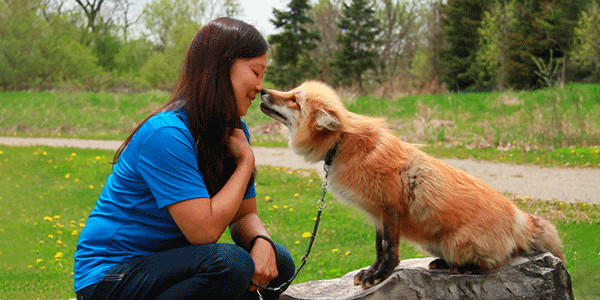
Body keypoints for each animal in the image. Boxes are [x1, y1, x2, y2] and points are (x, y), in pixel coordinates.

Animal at [260, 81, 564, 290]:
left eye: (294, 100)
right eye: (291, 91)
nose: (262, 90)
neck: (342, 146)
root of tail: (518, 217)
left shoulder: (390, 208)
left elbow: (390, 252)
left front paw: (379, 276)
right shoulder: (377, 214)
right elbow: (379, 249)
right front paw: (371, 273)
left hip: (457, 243)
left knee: (497, 263)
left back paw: (465, 270)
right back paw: (442, 264)